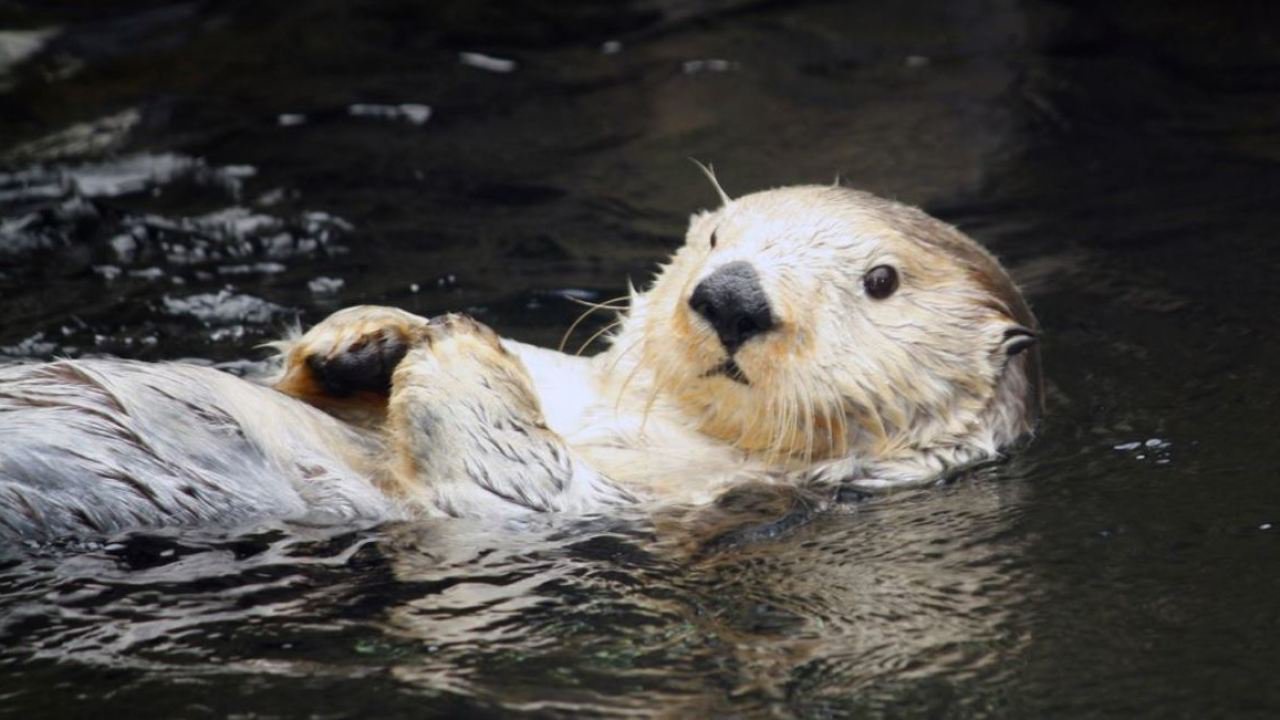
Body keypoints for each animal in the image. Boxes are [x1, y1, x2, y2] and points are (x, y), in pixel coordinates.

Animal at [0, 183, 1040, 541]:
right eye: (716, 238)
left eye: (881, 280)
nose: (733, 295)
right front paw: (367, 333)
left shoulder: (637, 501)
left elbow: (509, 479)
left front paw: (453, 347)